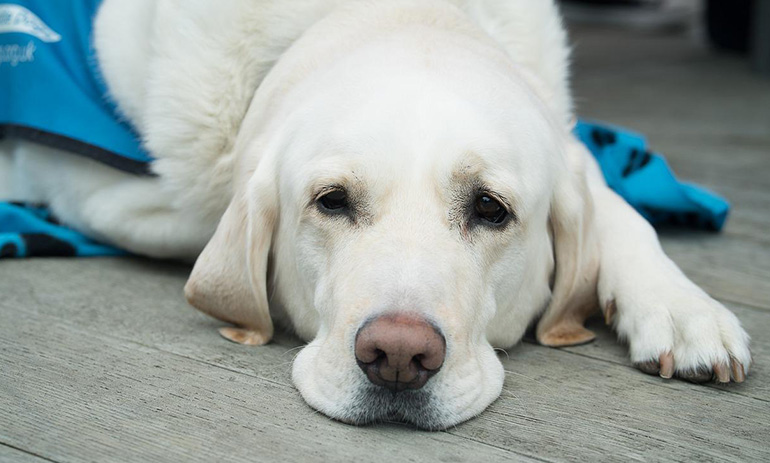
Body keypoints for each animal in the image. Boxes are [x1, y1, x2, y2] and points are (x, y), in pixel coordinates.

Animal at [0, 0, 744, 432]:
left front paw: (683, 308)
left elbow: (616, 209)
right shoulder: (103, 191)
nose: (398, 356)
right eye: (331, 200)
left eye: (490, 208)